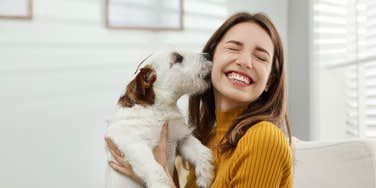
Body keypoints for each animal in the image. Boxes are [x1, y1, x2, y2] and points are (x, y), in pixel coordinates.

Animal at [105, 50, 214, 188]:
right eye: (178, 58)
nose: (208, 55)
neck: (159, 110)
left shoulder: (181, 138)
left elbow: (202, 152)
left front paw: (205, 177)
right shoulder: (132, 143)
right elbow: (155, 169)